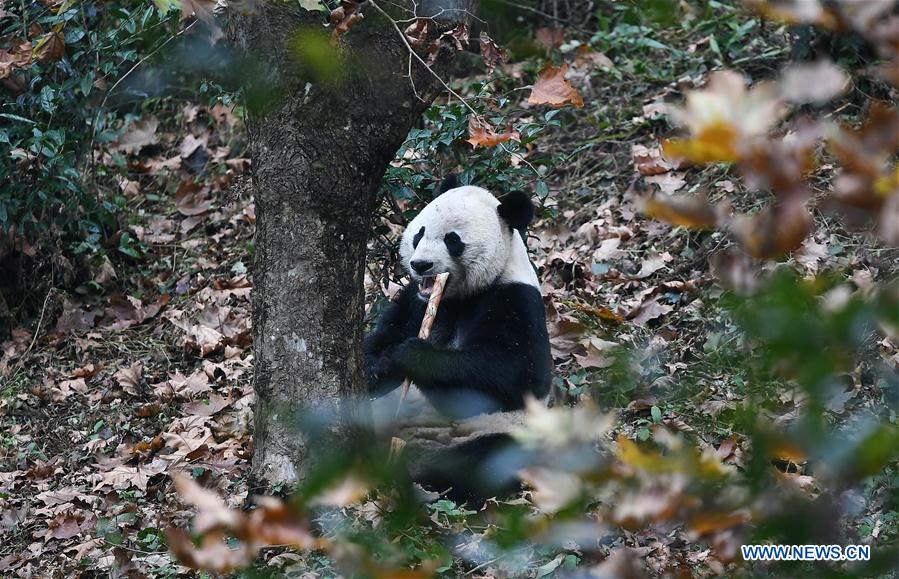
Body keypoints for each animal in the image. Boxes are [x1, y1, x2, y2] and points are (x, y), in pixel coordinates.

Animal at [364, 178, 548, 502]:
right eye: (420, 233)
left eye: (453, 240)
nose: (420, 265)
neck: (460, 297)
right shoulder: (416, 300)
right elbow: (387, 333)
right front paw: (377, 367)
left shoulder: (515, 299)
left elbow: (519, 372)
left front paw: (412, 356)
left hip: (496, 432)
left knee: (486, 459)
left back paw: (421, 479)